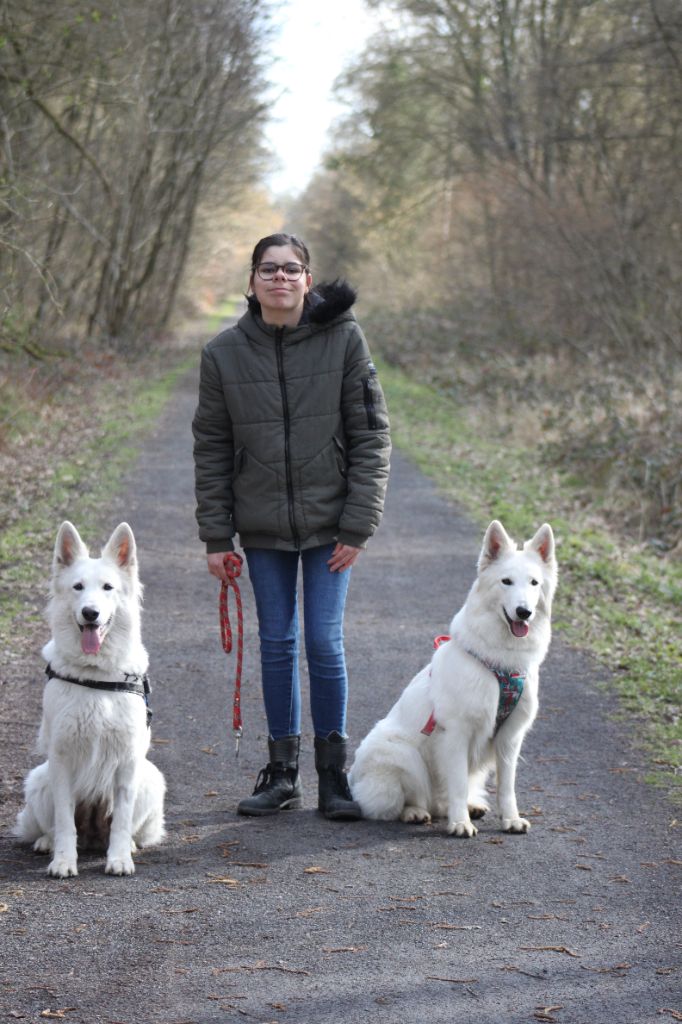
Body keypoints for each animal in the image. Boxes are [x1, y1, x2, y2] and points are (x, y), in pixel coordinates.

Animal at [14, 524, 165, 876]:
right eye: (78, 587)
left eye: (108, 587)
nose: (90, 613)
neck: (97, 675)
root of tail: (93, 835)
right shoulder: (62, 758)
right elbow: (65, 820)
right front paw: (63, 860)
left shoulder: (127, 761)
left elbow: (121, 820)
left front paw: (119, 858)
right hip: (40, 779)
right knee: (53, 826)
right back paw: (47, 843)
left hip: (150, 779)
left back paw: (128, 846)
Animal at [348, 524, 557, 835]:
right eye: (506, 582)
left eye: (534, 583)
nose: (524, 612)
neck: (500, 664)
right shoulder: (457, 734)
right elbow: (457, 783)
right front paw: (459, 824)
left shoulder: (510, 738)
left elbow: (506, 787)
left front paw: (510, 819)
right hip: (401, 753)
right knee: (405, 802)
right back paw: (417, 812)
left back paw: (468, 807)